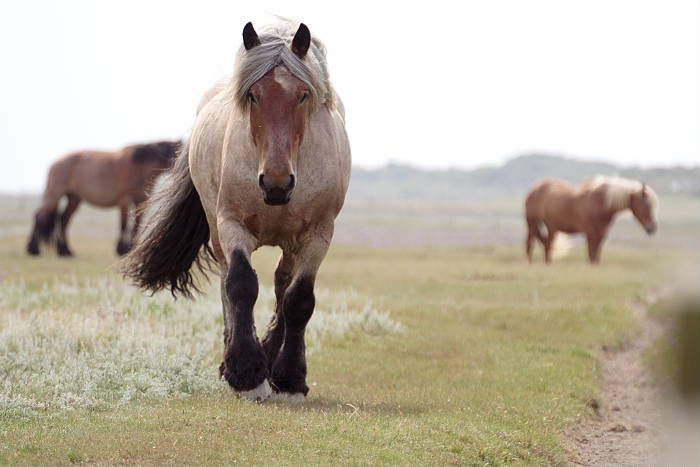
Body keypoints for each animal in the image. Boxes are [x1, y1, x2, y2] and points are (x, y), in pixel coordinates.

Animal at [26, 141, 180, 258]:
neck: (140, 167)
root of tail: (55, 163)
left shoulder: (141, 202)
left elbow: (136, 226)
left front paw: (132, 248)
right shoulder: (124, 201)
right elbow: (124, 225)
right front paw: (122, 250)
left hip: (74, 198)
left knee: (63, 220)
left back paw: (65, 251)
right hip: (55, 195)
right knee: (40, 217)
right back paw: (34, 250)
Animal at [121, 20, 350, 404]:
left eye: (303, 94)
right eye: (253, 95)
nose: (276, 183)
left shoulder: (318, 234)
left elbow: (299, 299)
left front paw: (290, 378)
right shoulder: (232, 225)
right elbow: (241, 285)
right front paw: (246, 374)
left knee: (282, 284)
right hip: (218, 231)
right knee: (228, 282)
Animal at [528, 176, 660, 264]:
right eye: (647, 204)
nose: (652, 228)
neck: (600, 204)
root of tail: (535, 189)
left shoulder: (601, 235)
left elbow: (596, 257)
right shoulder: (591, 234)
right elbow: (591, 255)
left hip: (551, 228)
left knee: (547, 245)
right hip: (533, 224)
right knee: (531, 244)